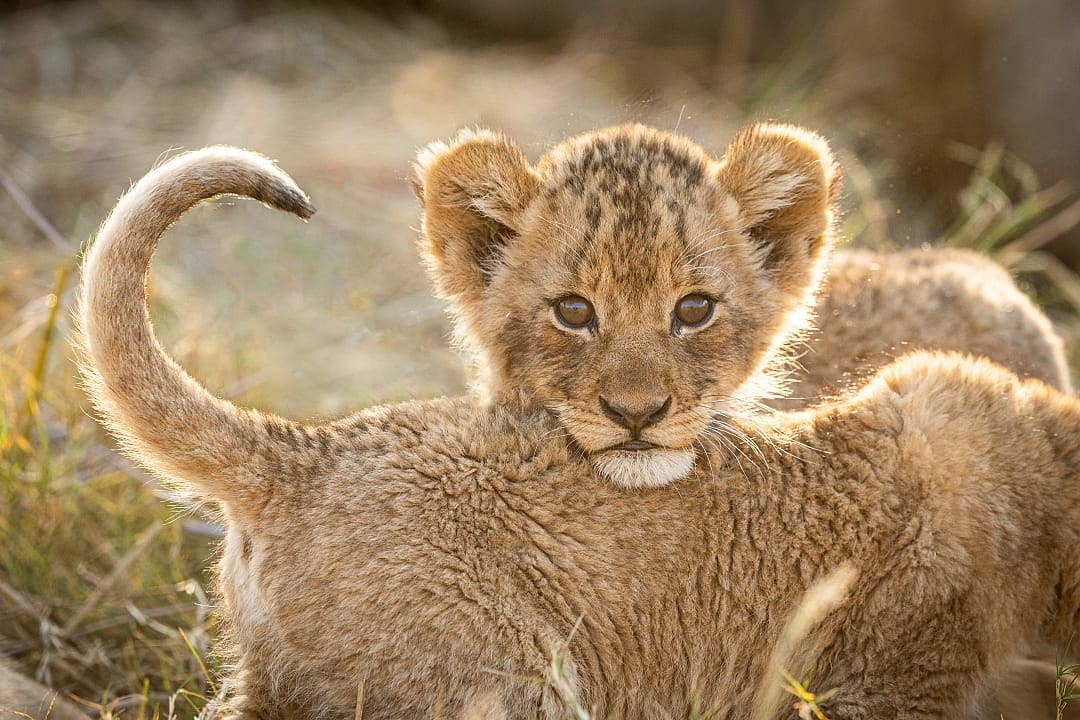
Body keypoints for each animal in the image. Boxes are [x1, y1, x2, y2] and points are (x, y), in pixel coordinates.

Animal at [76, 145, 1080, 719]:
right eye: (572, 312)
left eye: (695, 309)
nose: (636, 414)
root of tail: (302, 452)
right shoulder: (886, 678)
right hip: (503, 683)